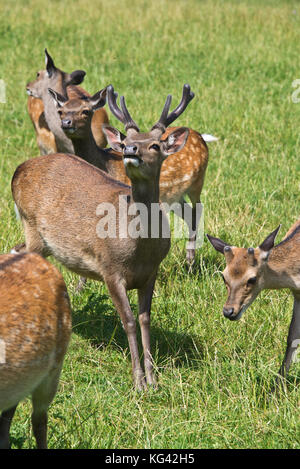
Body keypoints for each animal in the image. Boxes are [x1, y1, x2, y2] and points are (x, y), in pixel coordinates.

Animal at [11, 86, 192, 390]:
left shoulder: (151, 272)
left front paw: (154, 379)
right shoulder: (110, 269)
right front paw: (138, 382)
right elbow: (128, 321)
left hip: (41, 240)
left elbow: (145, 319)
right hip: (31, 224)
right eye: (127, 140)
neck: (139, 248)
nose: (130, 150)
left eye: (155, 145)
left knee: (15, 250)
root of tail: (17, 170)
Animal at [48, 82, 210, 262]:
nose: (66, 123)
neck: (105, 163)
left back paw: (190, 260)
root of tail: (200, 136)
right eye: (60, 111)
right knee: (189, 214)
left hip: (197, 183)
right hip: (174, 196)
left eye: (86, 111)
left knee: (198, 210)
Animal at [207, 219, 300, 380]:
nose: (228, 311)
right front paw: (277, 385)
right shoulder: (297, 295)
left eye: (252, 279)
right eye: (224, 276)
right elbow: (292, 337)